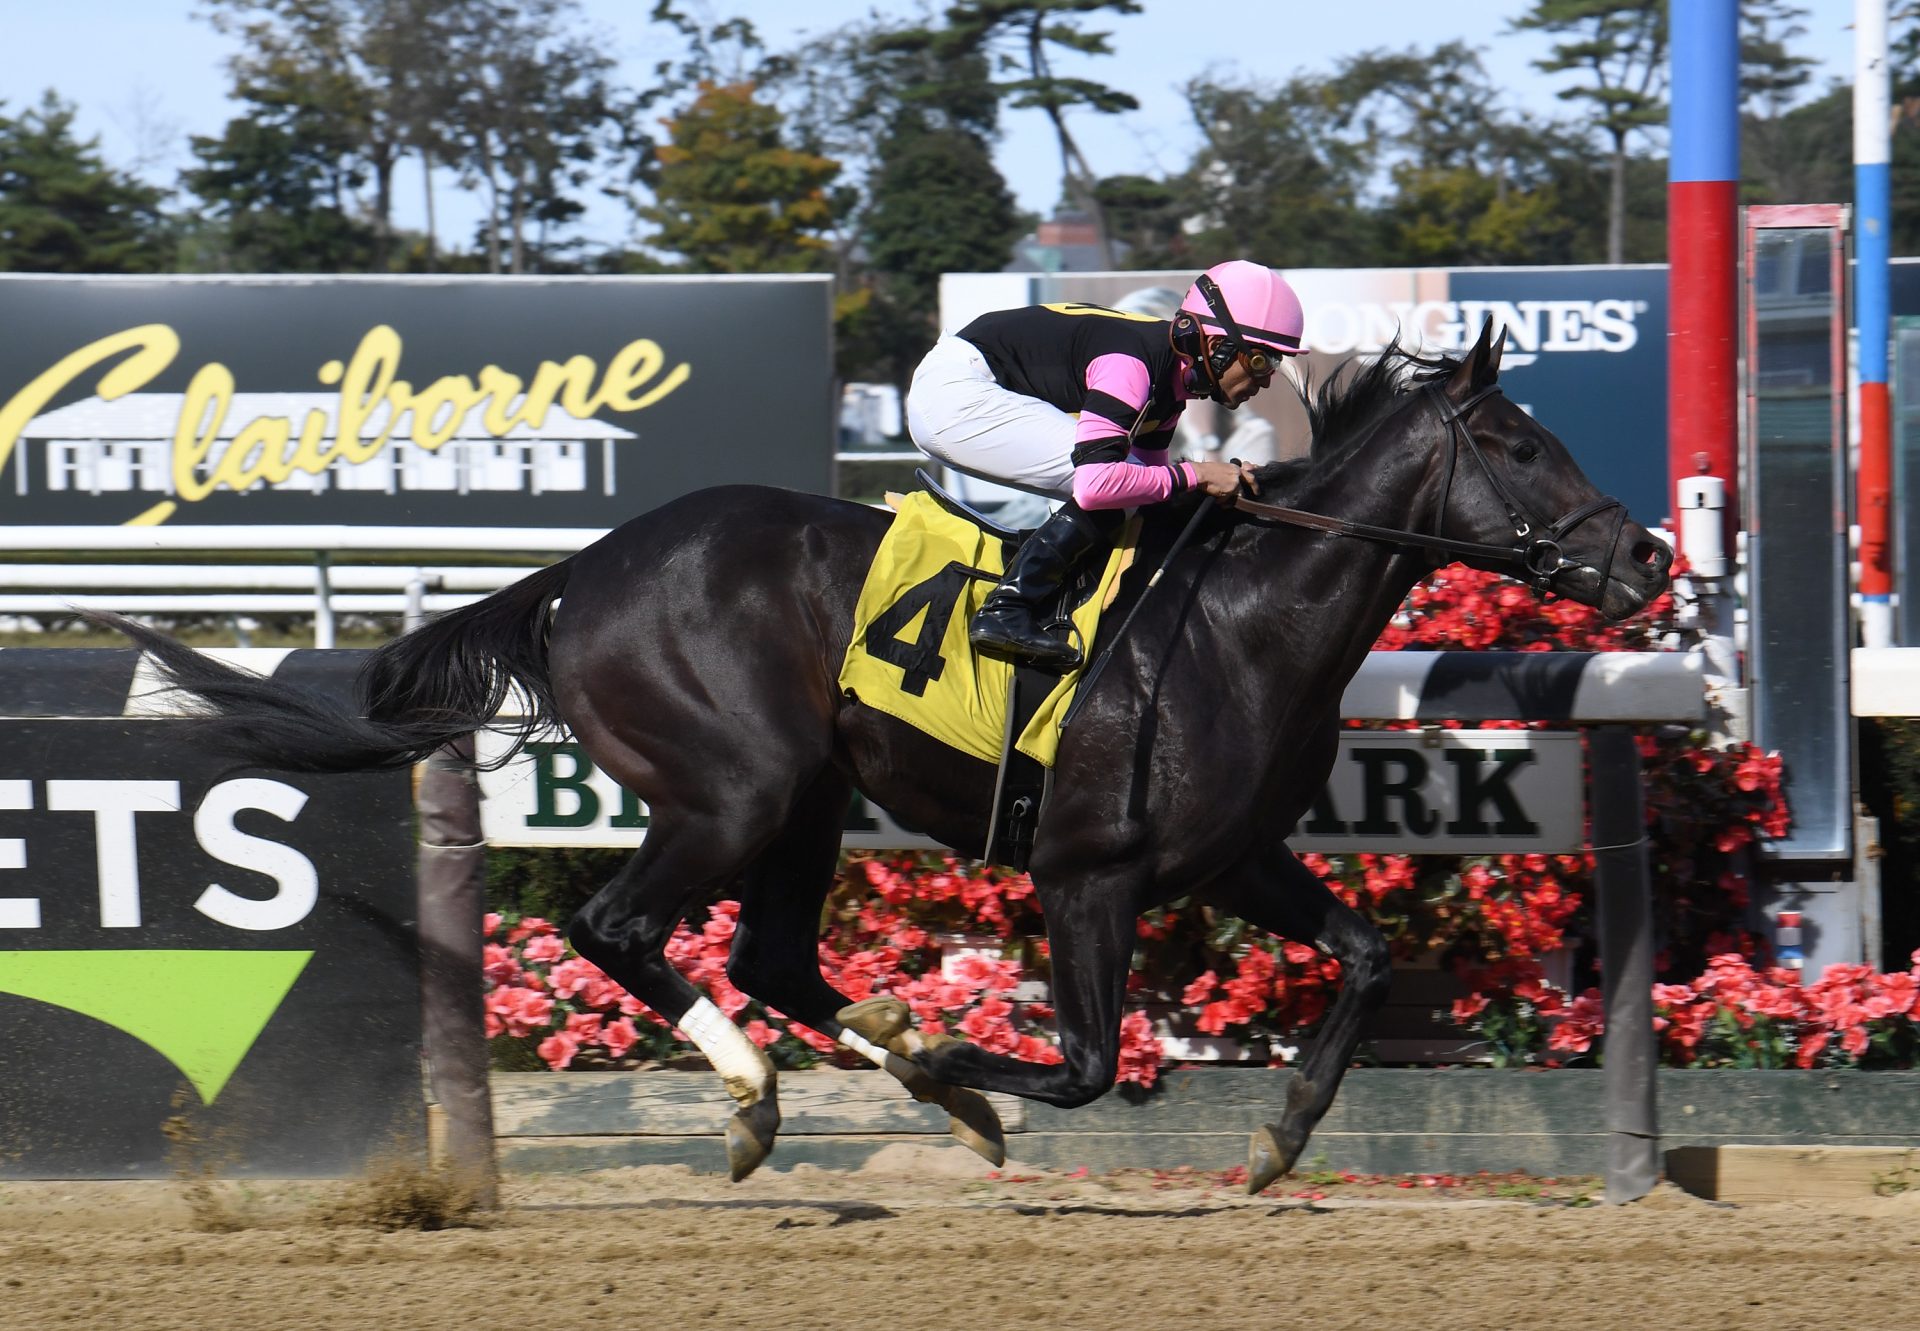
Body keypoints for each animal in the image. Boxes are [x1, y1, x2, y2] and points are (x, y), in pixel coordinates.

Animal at [105, 322, 1666, 1190]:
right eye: (1521, 444)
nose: (1647, 554)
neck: (1241, 621)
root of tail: (577, 573)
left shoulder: (1233, 856)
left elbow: (1364, 954)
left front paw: (1281, 1133)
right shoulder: (1086, 871)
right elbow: (1086, 1064)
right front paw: (965, 1051)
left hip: (806, 794)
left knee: (772, 952)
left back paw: (915, 1079)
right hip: (732, 789)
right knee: (621, 925)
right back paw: (763, 1094)